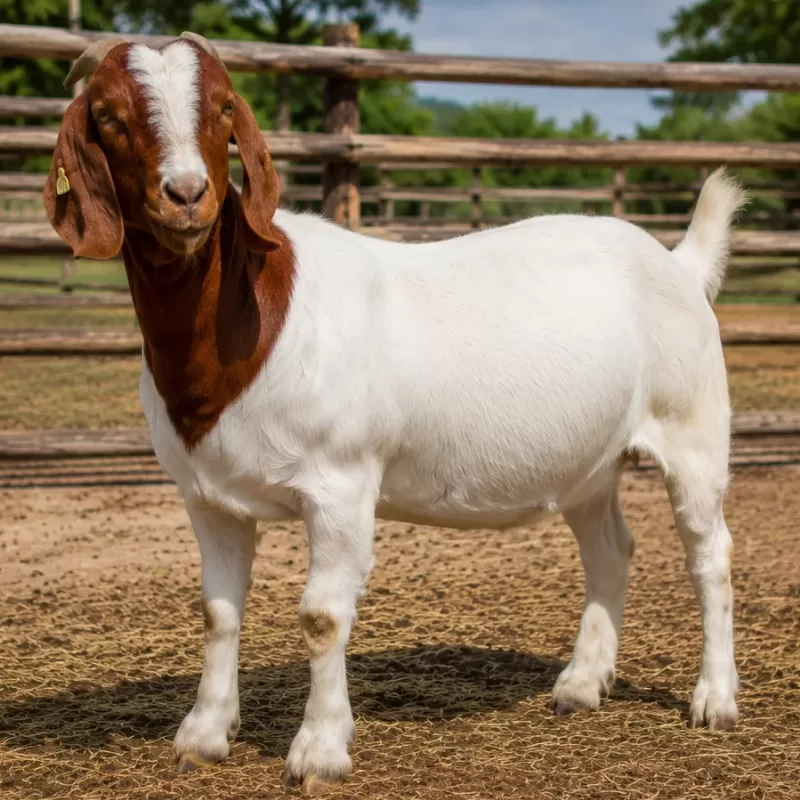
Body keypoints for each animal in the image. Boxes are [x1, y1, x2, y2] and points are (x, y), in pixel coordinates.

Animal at [45, 33, 746, 794]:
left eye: (224, 108)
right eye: (108, 115)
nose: (187, 195)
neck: (254, 318)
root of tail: (679, 264)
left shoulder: (341, 482)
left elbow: (322, 617)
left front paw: (319, 751)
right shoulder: (208, 497)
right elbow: (217, 611)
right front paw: (202, 736)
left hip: (694, 425)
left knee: (709, 554)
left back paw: (715, 699)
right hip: (590, 460)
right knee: (609, 548)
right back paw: (581, 685)